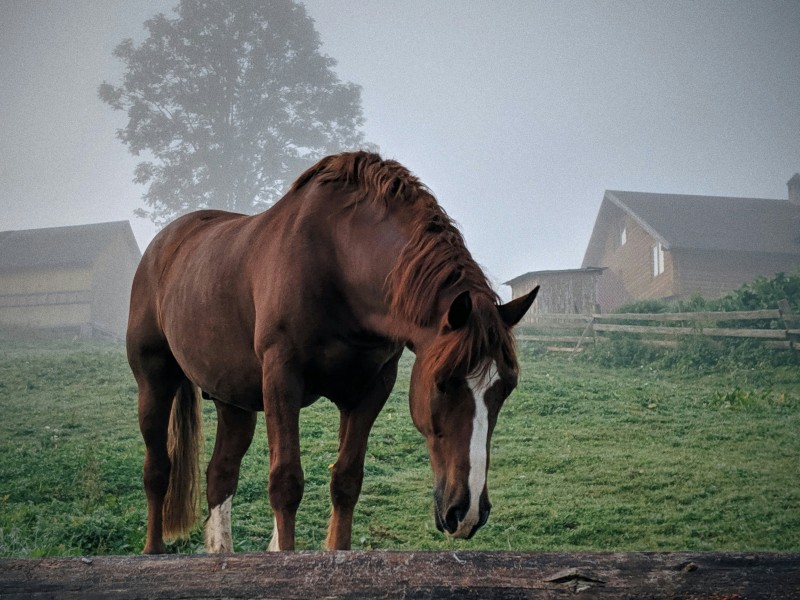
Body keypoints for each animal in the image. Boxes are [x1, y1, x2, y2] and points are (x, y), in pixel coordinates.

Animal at [126, 151, 538, 553]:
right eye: (443, 383)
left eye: (506, 388)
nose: (467, 513)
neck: (338, 262)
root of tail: (165, 243)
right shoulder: (282, 379)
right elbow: (286, 484)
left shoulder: (370, 389)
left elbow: (346, 481)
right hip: (155, 382)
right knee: (157, 470)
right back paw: (153, 551)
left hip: (233, 400)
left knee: (220, 474)